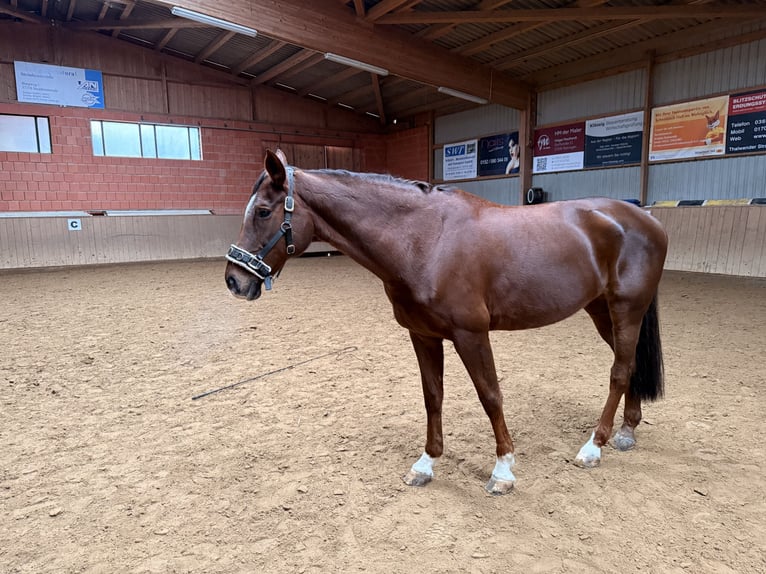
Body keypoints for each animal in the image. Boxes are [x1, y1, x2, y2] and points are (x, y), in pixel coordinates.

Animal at [224, 149, 668, 495]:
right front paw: (425, 464)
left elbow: (490, 396)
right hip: (601, 312)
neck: (426, 239)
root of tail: (645, 218)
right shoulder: (423, 335)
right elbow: (432, 396)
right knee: (628, 366)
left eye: (263, 211)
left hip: (626, 310)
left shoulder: (472, 335)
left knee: (619, 370)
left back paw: (594, 446)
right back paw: (626, 432)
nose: (234, 280)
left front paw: (503, 470)